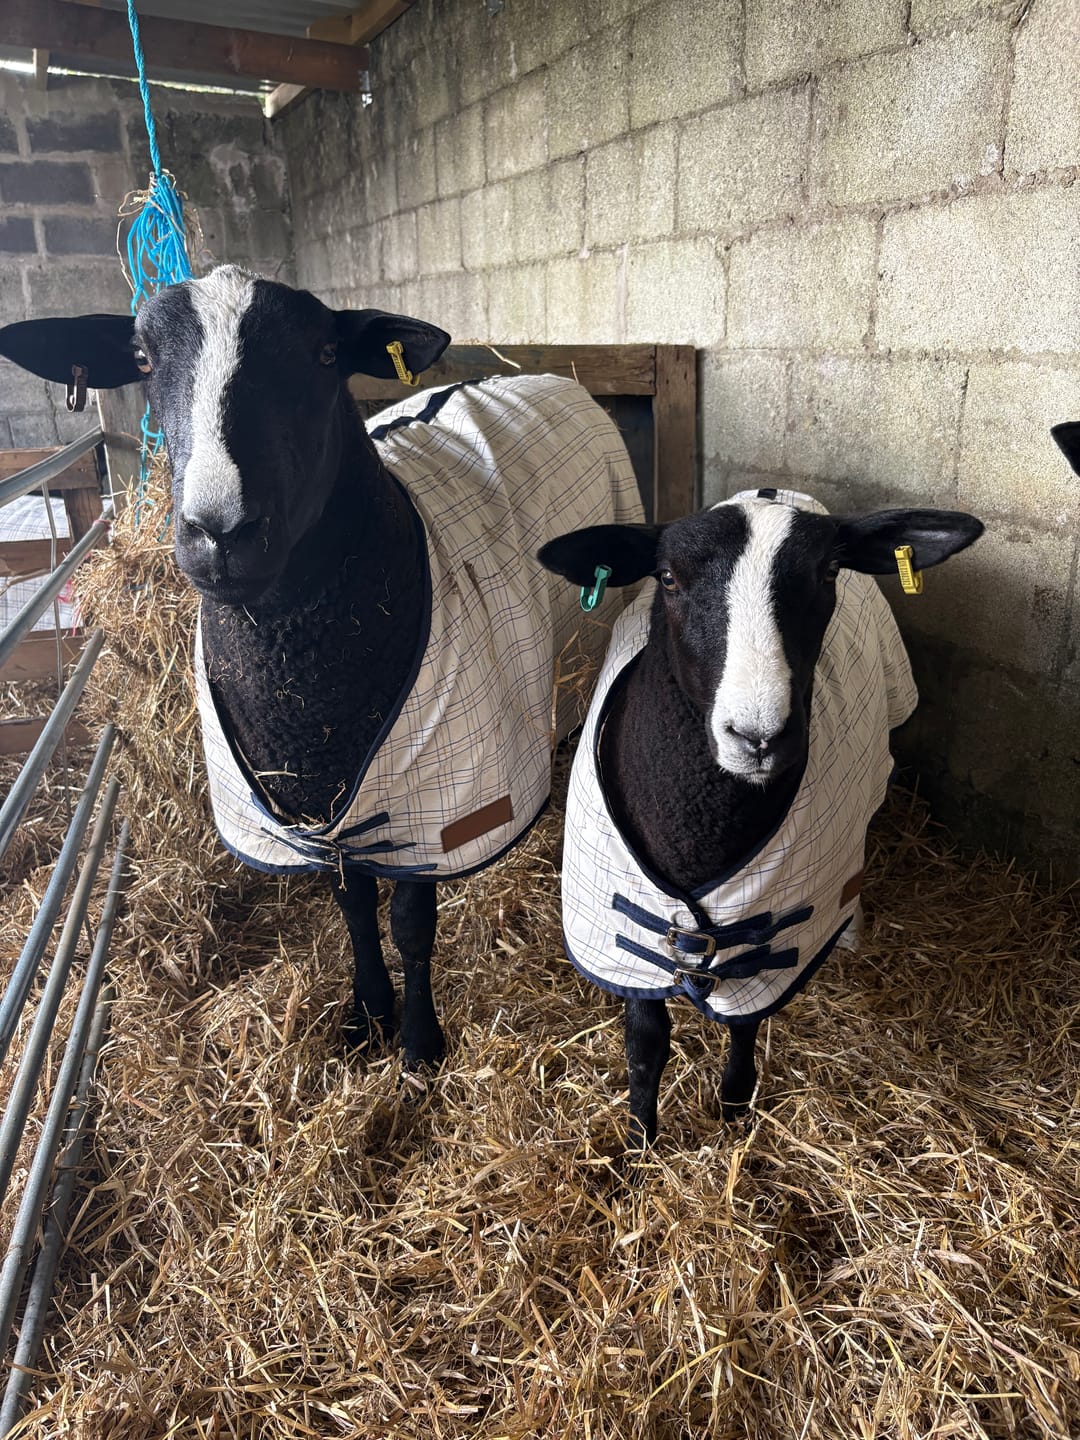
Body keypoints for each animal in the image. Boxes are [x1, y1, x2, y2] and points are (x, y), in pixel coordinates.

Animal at [0, 265, 643, 1067]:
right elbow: (353, 909)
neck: (301, 691)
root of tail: (552, 375)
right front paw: (366, 1018)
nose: (221, 534)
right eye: (142, 360)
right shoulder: (327, 817)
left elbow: (410, 926)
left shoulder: (428, 806)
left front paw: (419, 1046)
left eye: (325, 354)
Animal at [538, 488, 984, 1149]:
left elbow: (746, 1024)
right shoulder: (623, 931)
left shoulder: (774, 931)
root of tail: (771, 489)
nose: (759, 737)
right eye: (667, 578)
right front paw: (640, 1143)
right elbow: (645, 1044)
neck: (700, 829)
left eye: (829, 573)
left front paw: (732, 1106)